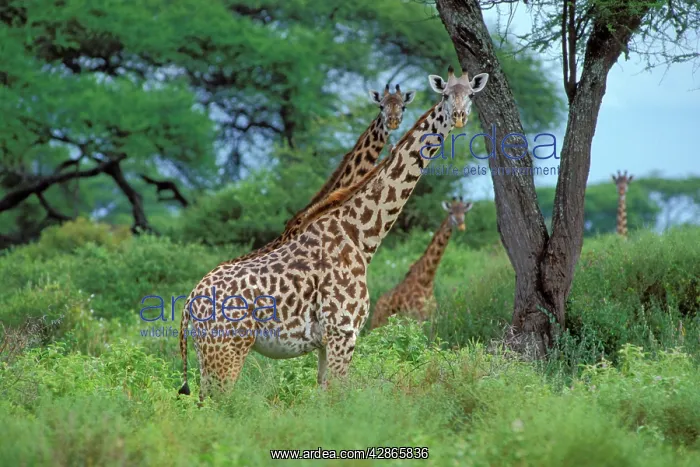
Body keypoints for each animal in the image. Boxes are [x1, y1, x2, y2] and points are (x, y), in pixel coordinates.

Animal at [370, 197, 473, 329]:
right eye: (451, 212)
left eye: (464, 212)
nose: (461, 225)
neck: (426, 279)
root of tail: (376, 307)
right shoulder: (418, 317)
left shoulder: (432, 316)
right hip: (380, 323)